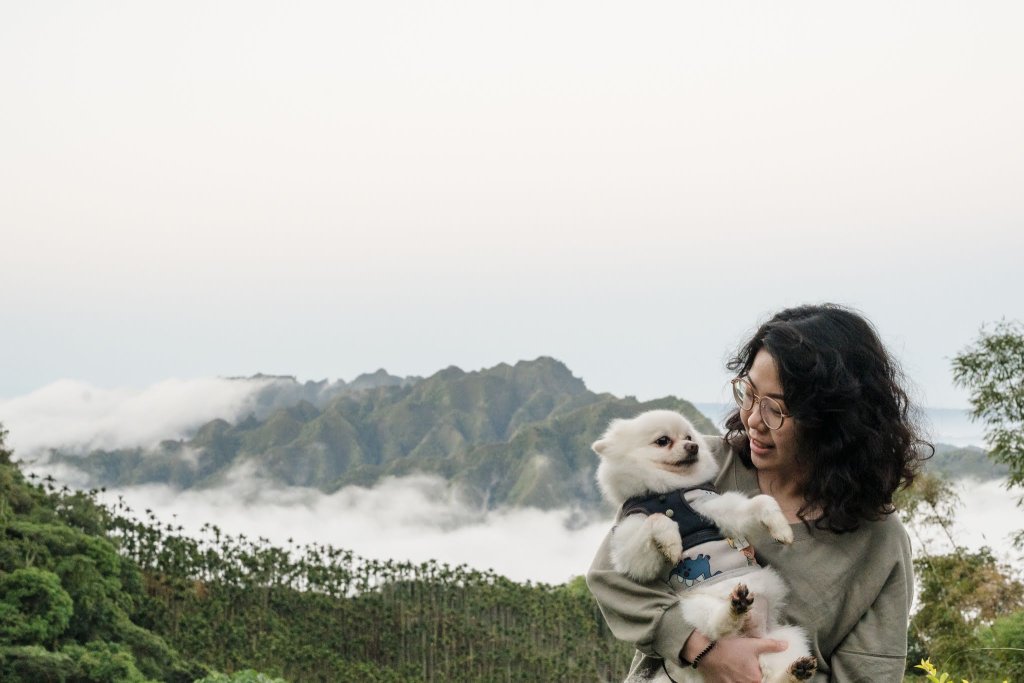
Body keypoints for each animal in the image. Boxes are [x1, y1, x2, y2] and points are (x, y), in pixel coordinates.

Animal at [593, 411, 815, 683]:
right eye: (662, 440)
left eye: (689, 437)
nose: (693, 446)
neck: (667, 492)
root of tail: (749, 634)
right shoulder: (632, 547)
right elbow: (657, 520)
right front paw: (671, 542)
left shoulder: (712, 507)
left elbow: (760, 503)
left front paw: (781, 528)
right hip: (695, 607)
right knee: (717, 628)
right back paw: (735, 608)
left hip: (785, 640)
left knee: (773, 674)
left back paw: (796, 671)